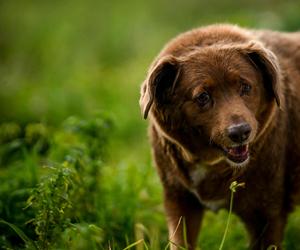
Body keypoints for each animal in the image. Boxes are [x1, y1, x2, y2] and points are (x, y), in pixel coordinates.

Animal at [139, 23, 300, 250]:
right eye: (203, 97)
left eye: (246, 87)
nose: (240, 132)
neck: (210, 162)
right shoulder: (179, 202)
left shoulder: (268, 214)